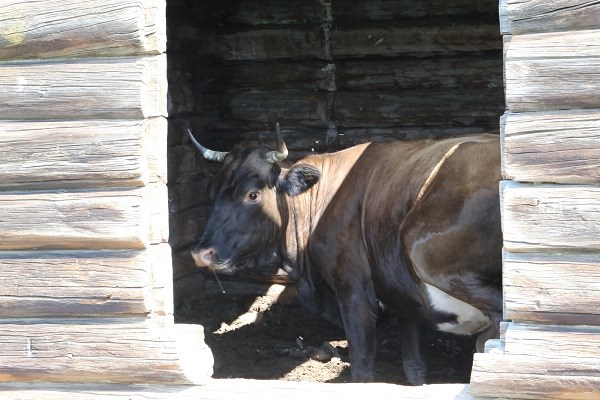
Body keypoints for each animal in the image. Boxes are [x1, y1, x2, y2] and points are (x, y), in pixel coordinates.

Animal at [189, 124, 502, 384]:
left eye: (253, 194)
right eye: (211, 191)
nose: (201, 252)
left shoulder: (354, 294)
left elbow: (362, 369)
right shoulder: (406, 301)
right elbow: (414, 369)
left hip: (421, 247)